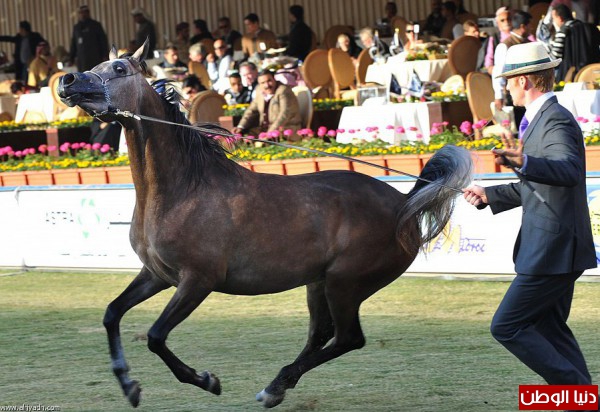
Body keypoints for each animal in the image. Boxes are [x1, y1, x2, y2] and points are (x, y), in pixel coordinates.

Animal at [57, 40, 474, 408]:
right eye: (95, 65)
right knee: (322, 335)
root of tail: (403, 202)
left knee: (347, 338)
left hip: (346, 284)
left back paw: (273, 388)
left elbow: (156, 337)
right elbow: (112, 313)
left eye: (118, 69)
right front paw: (129, 385)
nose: (67, 81)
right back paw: (277, 387)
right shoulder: (157, 274)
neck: (184, 189)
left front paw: (207, 380)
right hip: (318, 283)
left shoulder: (197, 280)